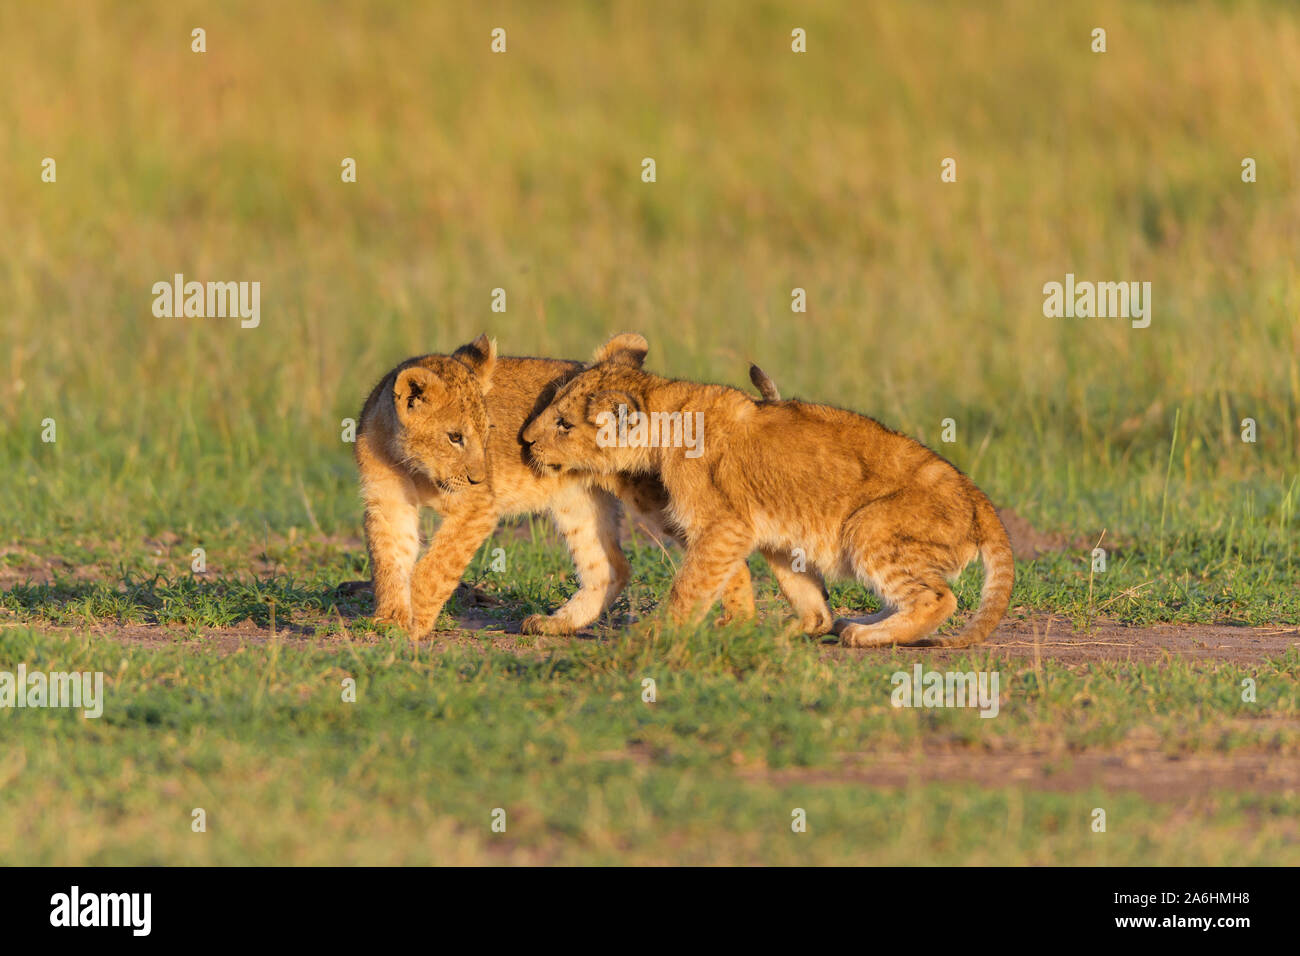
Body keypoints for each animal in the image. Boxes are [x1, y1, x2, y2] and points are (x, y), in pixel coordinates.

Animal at [354, 334, 784, 638]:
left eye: (487, 432)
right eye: (454, 437)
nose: (478, 475)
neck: (411, 466)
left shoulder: (478, 507)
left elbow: (435, 566)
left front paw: (413, 622)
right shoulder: (386, 503)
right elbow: (389, 562)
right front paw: (389, 619)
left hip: (665, 499)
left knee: (725, 550)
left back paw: (739, 626)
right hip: (576, 501)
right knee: (611, 567)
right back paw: (555, 624)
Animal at [520, 333, 1013, 648]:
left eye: (563, 424)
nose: (525, 440)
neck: (669, 410)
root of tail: (980, 500)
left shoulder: (723, 525)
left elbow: (690, 586)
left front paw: (655, 634)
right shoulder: (753, 530)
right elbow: (796, 597)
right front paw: (763, 630)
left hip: (869, 528)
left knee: (938, 597)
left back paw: (866, 635)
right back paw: (846, 623)